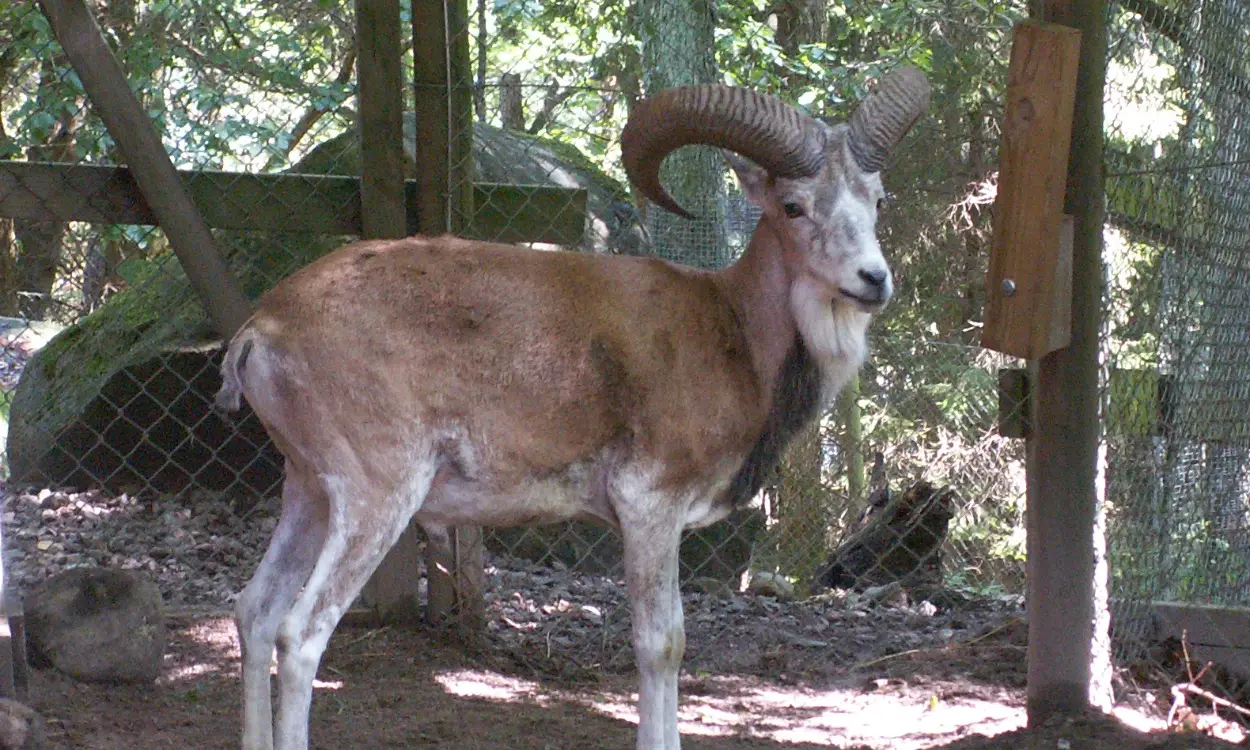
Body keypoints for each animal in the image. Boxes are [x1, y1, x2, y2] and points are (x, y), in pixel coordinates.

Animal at [214, 66, 929, 750]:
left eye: (878, 200)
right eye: (793, 204)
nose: (873, 280)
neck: (732, 330)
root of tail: (262, 331)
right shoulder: (649, 508)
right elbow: (662, 644)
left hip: (309, 493)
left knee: (255, 613)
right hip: (374, 498)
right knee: (300, 636)